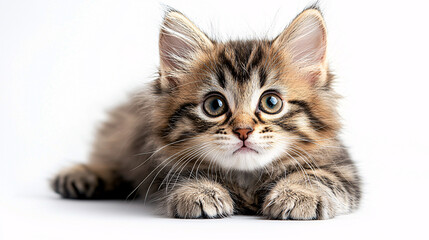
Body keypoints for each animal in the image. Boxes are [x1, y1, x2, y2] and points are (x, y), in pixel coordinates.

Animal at [51, 6, 362, 220]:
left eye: (271, 103)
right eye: (215, 106)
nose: (243, 131)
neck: (247, 180)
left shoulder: (344, 168)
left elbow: (320, 176)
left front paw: (299, 194)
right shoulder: (166, 166)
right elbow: (185, 175)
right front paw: (199, 191)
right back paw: (82, 177)